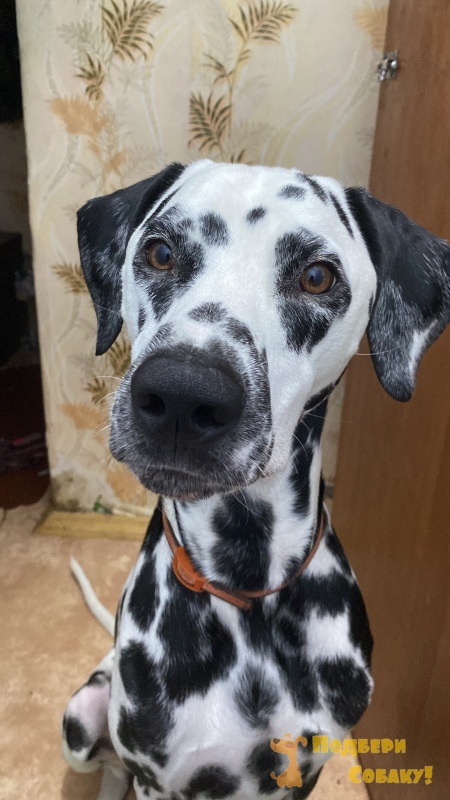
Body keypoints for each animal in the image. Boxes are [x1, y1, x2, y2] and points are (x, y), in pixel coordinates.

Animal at [61, 160, 450, 800]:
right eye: (160, 252)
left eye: (316, 276)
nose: (182, 394)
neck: (245, 588)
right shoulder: (159, 777)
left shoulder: (303, 772)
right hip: (83, 721)